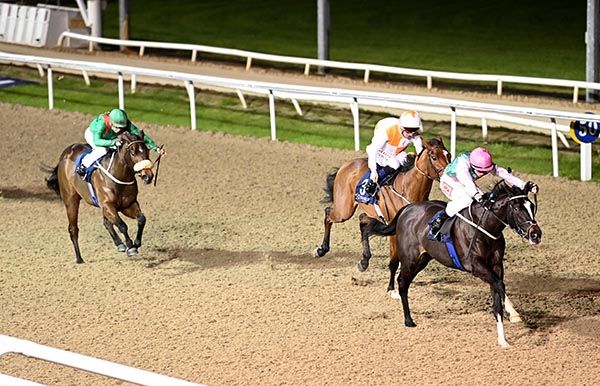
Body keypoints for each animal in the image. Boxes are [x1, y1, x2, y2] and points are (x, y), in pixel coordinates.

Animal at [46, 131, 156, 264]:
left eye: (147, 150)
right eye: (133, 152)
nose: (148, 176)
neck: (119, 176)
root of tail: (65, 155)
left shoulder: (128, 205)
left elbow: (141, 219)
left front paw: (136, 243)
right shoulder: (108, 205)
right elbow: (122, 225)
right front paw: (130, 246)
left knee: (106, 222)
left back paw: (119, 244)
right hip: (70, 200)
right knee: (73, 229)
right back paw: (79, 258)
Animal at [314, 137, 450, 270]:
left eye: (449, 155)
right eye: (434, 157)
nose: (449, 176)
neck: (407, 188)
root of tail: (346, 165)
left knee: (362, 219)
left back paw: (364, 259)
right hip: (344, 210)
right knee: (328, 213)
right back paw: (321, 249)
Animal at [368, 179, 540, 348]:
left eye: (532, 206)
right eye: (516, 208)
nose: (536, 234)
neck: (484, 227)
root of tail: (406, 208)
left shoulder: (496, 266)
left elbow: (497, 292)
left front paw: (503, 339)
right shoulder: (476, 265)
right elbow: (499, 285)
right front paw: (514, 314)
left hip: (423, 259)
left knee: (404, 281)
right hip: (410, 259)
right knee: (402, 282)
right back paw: (408, 319)